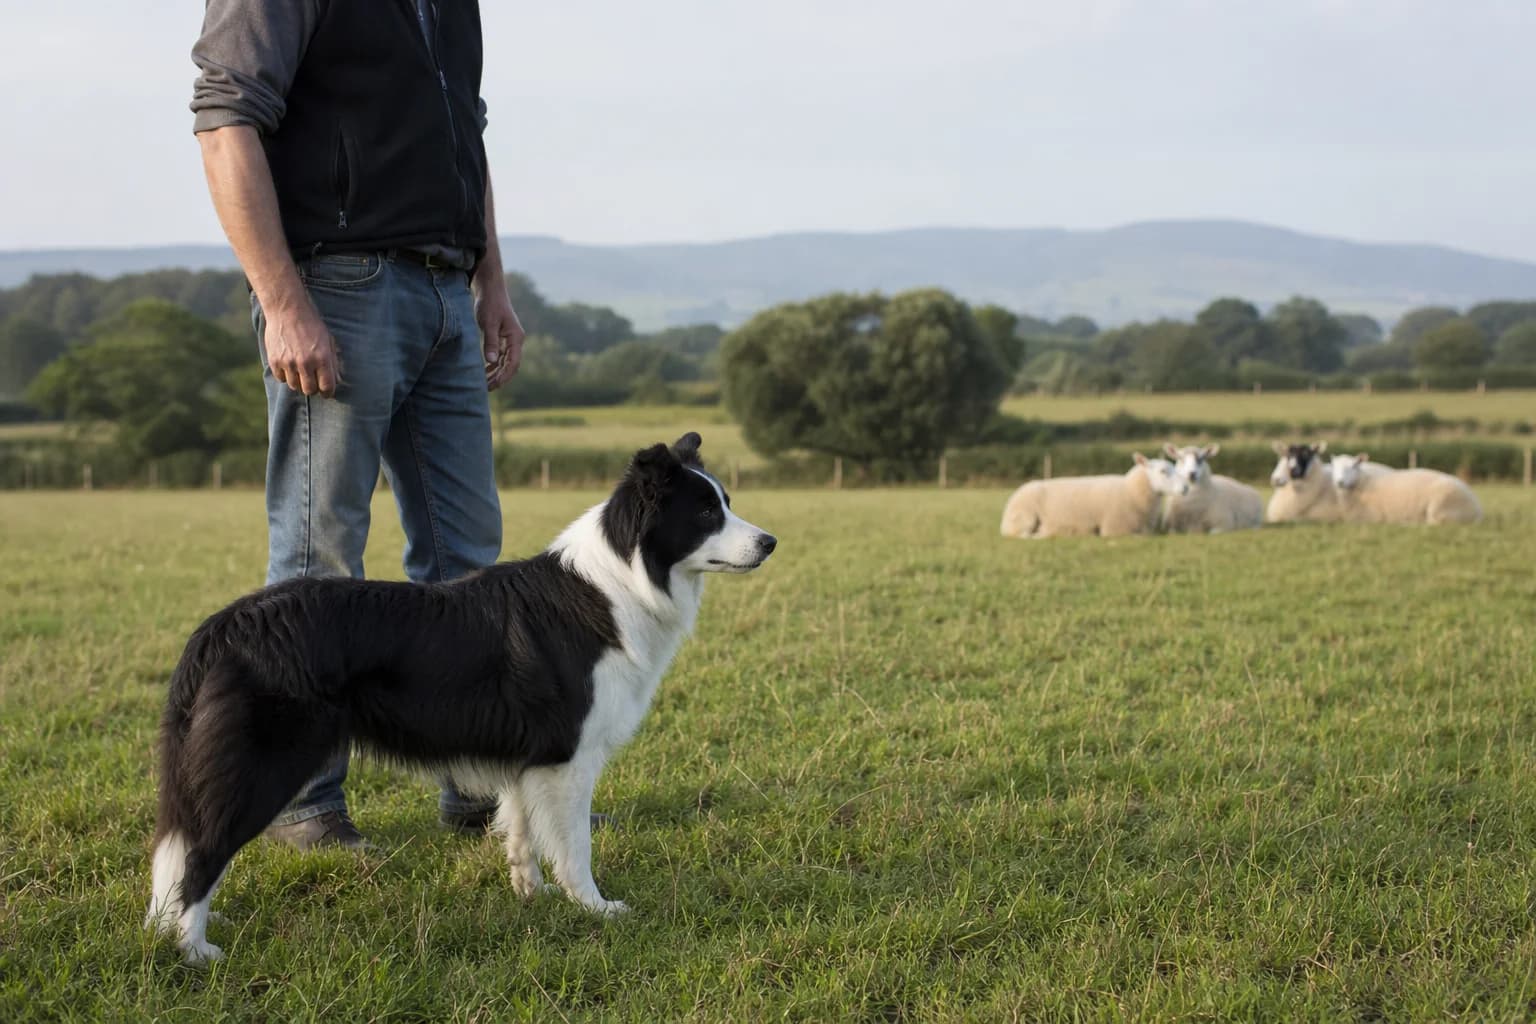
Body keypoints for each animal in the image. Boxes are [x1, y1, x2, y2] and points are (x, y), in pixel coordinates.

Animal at [1000, 453, 1186, 539]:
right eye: (1163, 471)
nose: (1185, 487)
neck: (1131, 491)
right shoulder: (1115, 529)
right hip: (1025, 518)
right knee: (1023, 535)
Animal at [1328, 452, 1483, 525]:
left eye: (1354, 465)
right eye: (1334, 467)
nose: (1339, 482)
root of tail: (1478, 510)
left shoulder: (1373, 518)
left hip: (1440, 508)